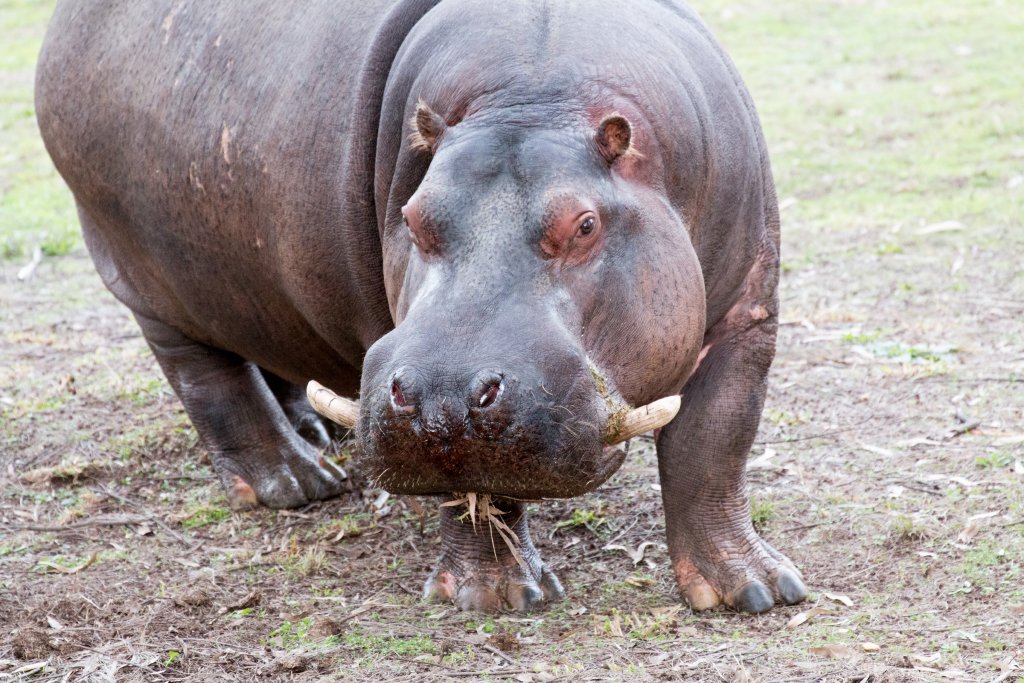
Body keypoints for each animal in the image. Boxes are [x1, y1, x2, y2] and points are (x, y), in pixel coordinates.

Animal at [36, 0, 808, 613]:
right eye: (411, 215)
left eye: (585, 224)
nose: (442, 395)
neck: (537, 91)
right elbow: (478, 490)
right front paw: (496, 597)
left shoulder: (748, 314)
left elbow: (715, 443)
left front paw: (756, 591)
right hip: (146, 282)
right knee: (205, 376)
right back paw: (297, 483)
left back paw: (315, 433)